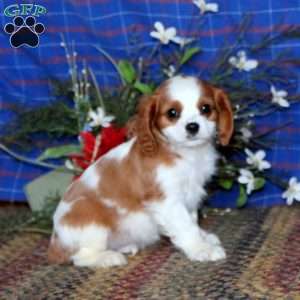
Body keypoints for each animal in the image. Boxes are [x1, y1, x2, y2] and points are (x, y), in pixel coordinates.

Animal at [48, 75, 233, 268]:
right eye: (172, 113)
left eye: (206, 108)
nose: (192, 126)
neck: (184, 153)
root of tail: (55, 243)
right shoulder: (167, 201)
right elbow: (185, 225)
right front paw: (201, 248)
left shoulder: (191, 194)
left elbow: (192, 219)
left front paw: (203, 237)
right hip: (90, 218)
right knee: (80, 257)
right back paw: (108, 257)